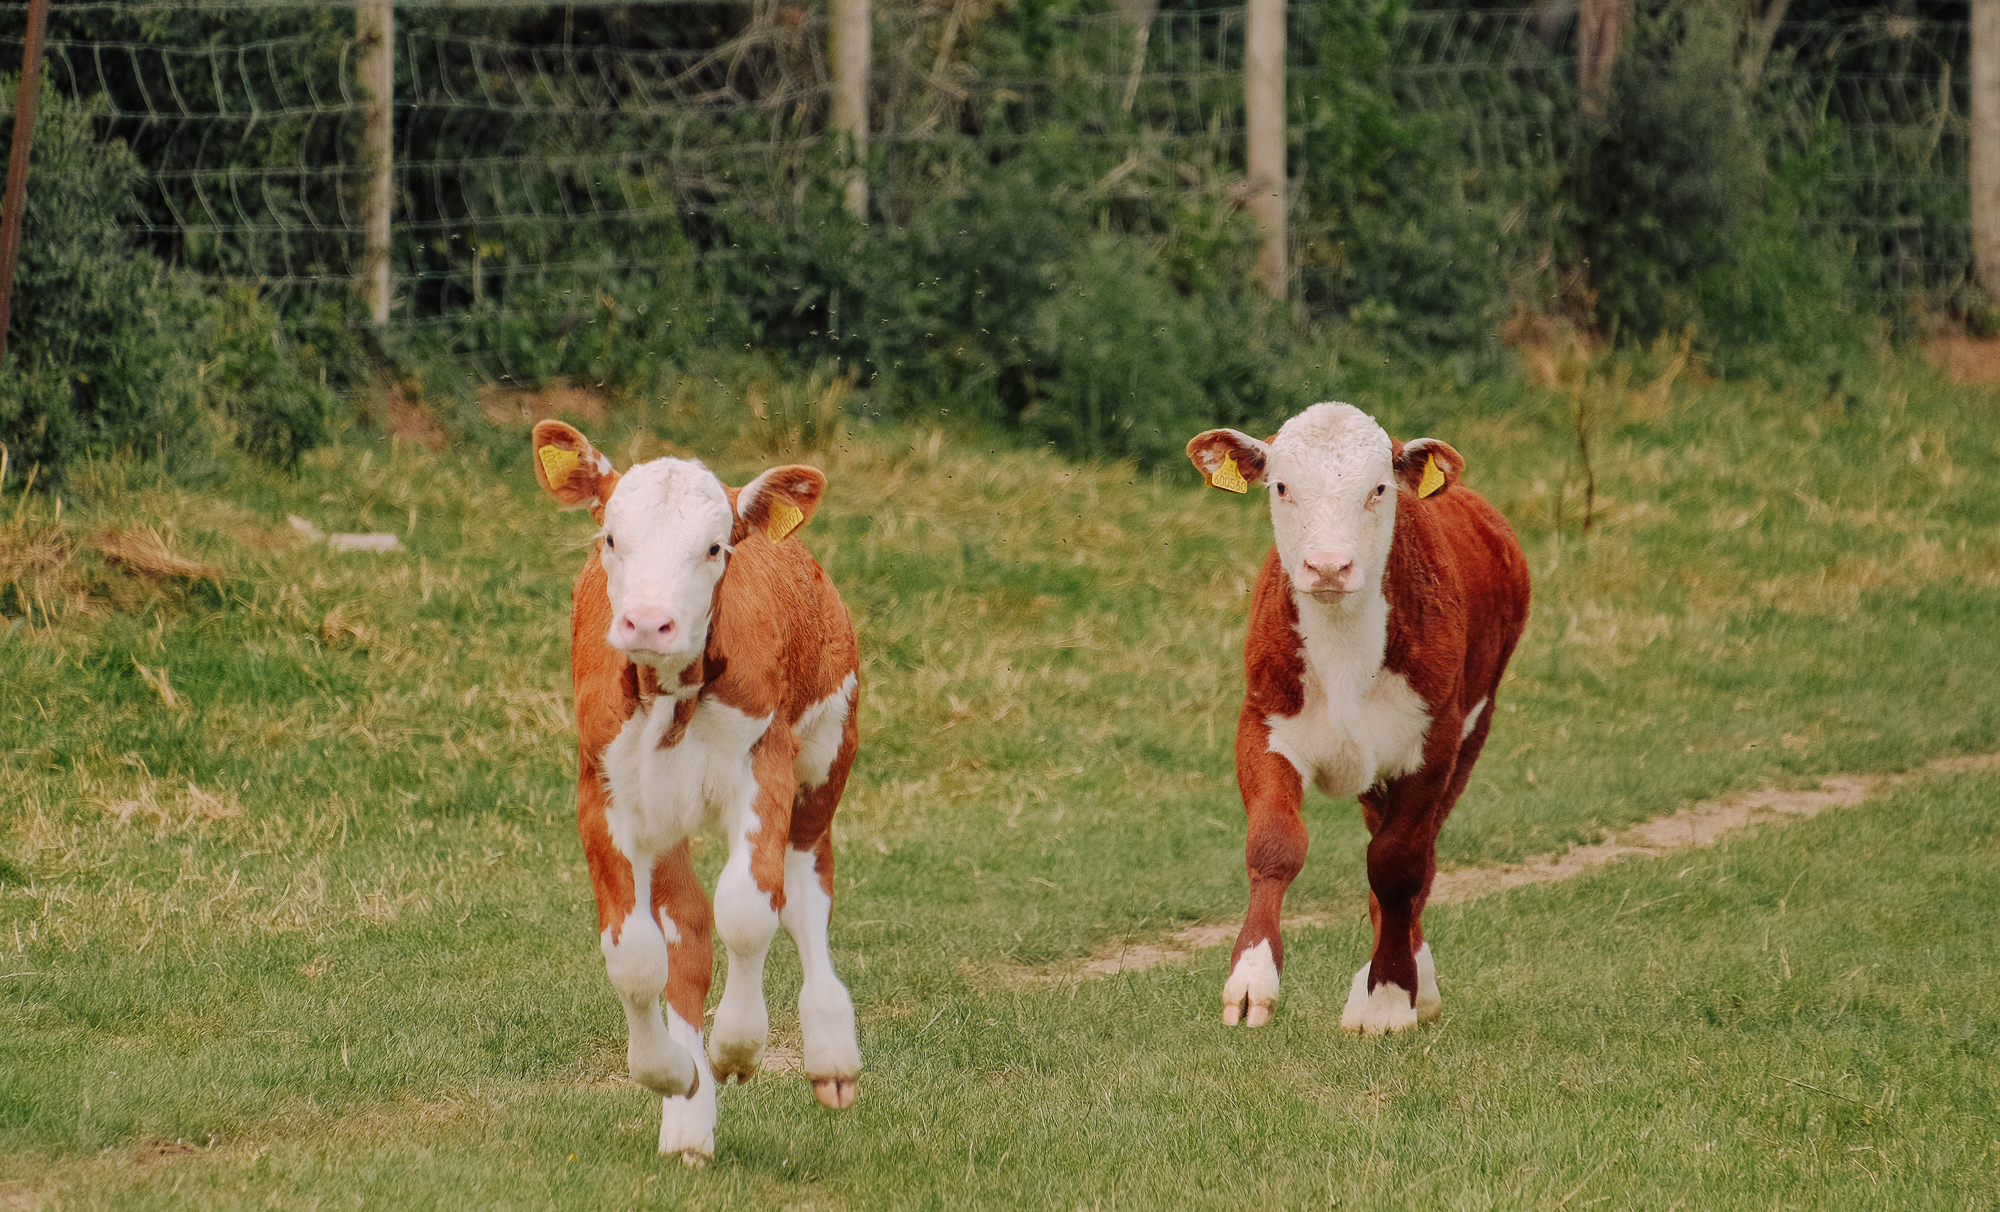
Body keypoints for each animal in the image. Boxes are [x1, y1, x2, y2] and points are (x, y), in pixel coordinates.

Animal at [530, 420, 863, 1162]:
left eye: (714, 548)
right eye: (610, 538)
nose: (648, 622)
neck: (672, 695)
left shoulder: (766, 768)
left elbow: (749, 907)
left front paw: (737, 1046)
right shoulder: (605, 795)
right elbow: (637, 954)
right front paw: (669, 1074)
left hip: (829, 749)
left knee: (805, 888)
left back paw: (830, 1049)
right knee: (687, 928)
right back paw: (688, 1123)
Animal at [1186, 402, 1530, 1034]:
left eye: (1378, 488)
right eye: (1282, 486)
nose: (1327, 566)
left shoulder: (1432, 745)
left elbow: (1398, 867)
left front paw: (1391, 997)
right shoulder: (1263, 724)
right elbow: (1274, 843)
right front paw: (1250, 980)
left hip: (1474, 728)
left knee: (1421, 856)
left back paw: (1408, 984)